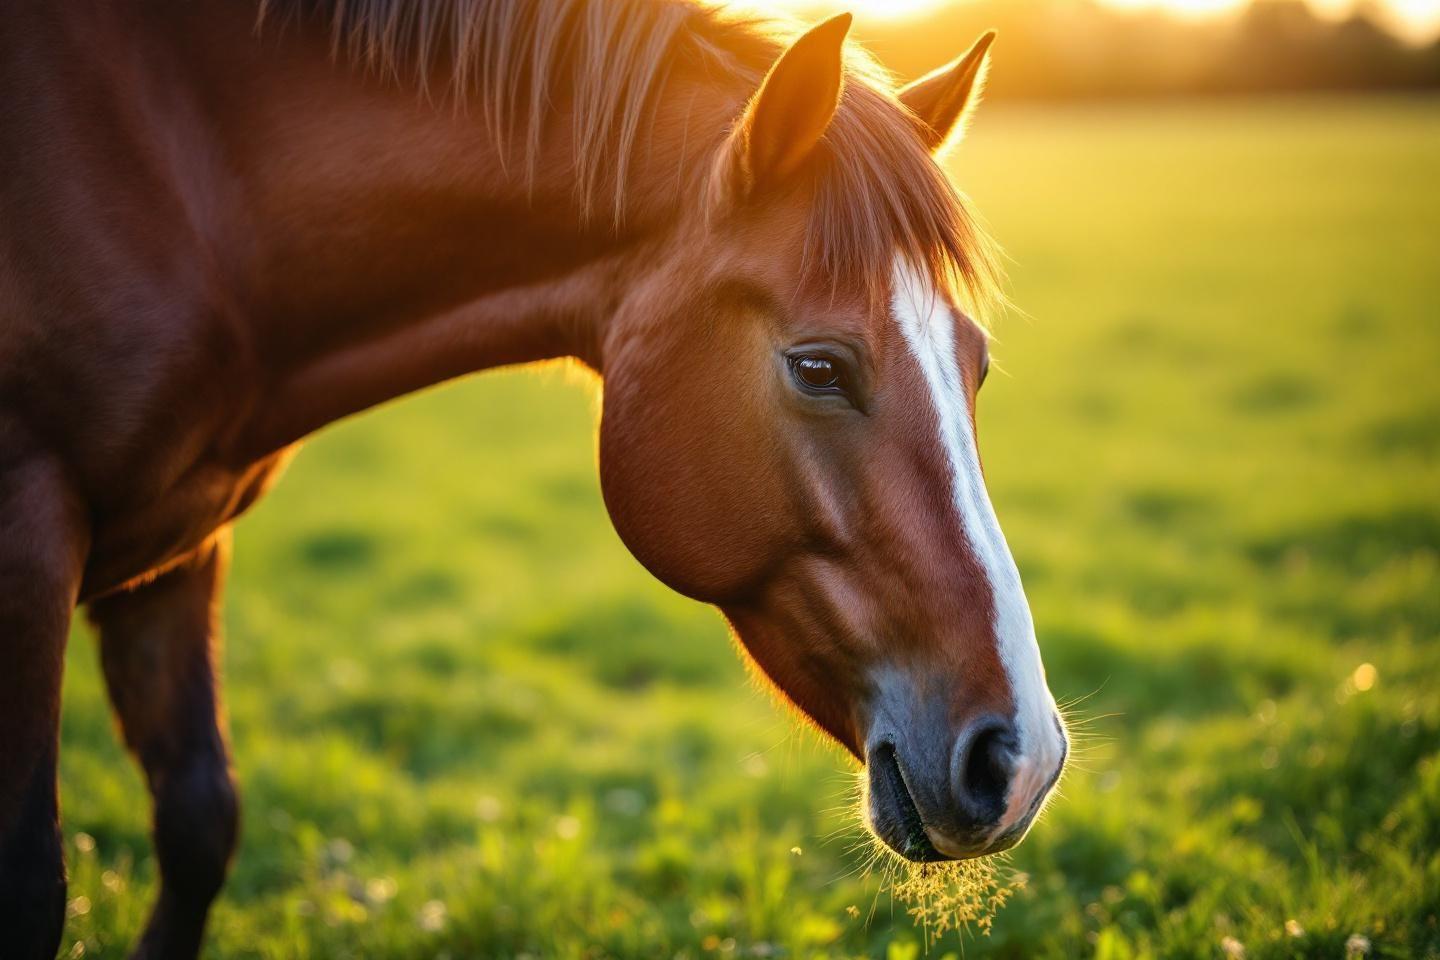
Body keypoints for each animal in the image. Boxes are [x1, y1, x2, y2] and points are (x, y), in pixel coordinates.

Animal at [0, 1, 1068, 955]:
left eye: (976, 366)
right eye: (818, 367)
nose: (1021, 760)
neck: (180, 174)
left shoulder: (180, 545)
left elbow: (196, 823)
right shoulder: (31, 529)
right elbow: (35, 882)